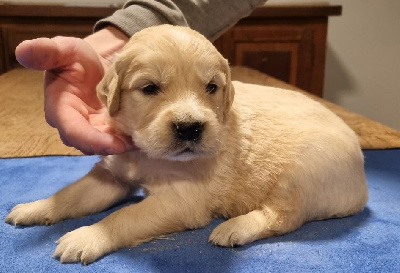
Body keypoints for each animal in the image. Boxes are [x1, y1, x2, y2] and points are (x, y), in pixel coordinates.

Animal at [6, 25, 368, 264]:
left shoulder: (181, 200)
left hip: (300, 174)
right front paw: (35, 208)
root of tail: (362, 184)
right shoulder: (112, 175)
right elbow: (72, 194)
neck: (145, 153)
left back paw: (233, 228)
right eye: (150, 88)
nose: (190, 129)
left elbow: (124, 216)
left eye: (211, 87)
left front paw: (86, 237)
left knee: (282, 218)